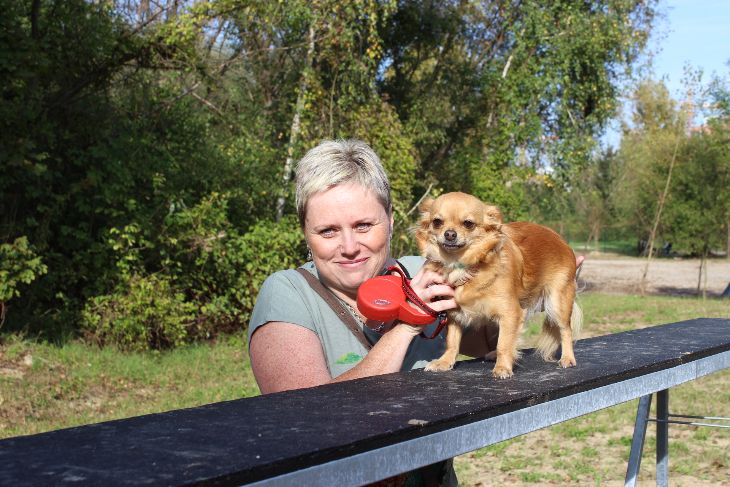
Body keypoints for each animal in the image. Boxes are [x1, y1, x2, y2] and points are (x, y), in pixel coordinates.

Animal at [415, 192, 582, 379]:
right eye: (437, 222)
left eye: (468, 224)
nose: (450, 234)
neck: (461, 265)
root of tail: (560, 239)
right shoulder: (455, 314)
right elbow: (453, 341)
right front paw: (444, 362)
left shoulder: (511, 312)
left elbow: (504, 343)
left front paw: (503, 367)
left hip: (557, 302)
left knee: (565, 330)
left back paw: (568, 358)